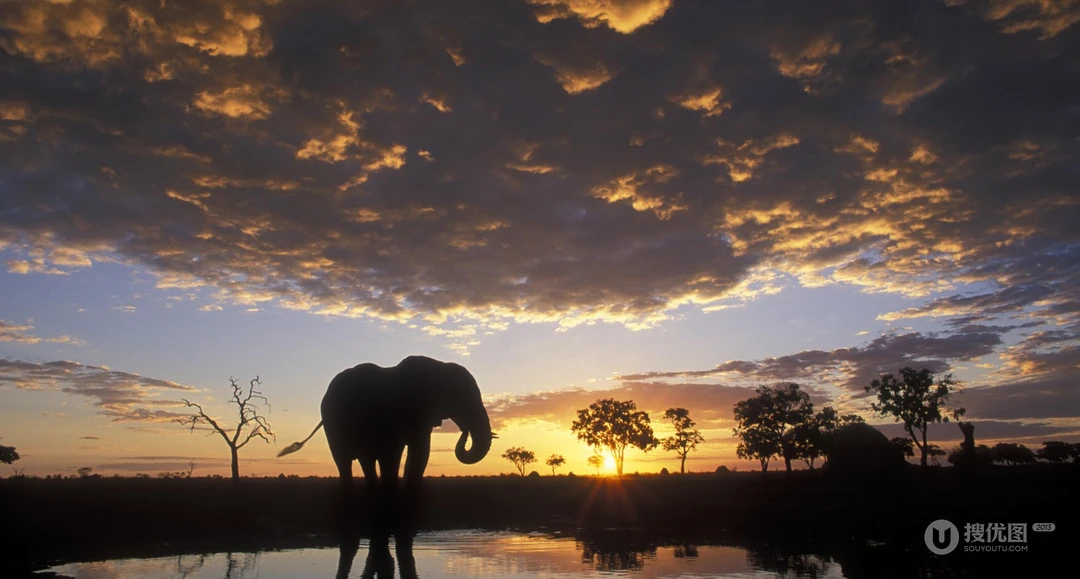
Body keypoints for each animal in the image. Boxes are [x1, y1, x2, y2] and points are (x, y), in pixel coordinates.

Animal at [278, 355, 494, 498]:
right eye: (462, 399)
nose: (464, 430)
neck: (438, 366)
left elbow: (420, 451)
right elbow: (397, 452)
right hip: (334, 424)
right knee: (348, 460)